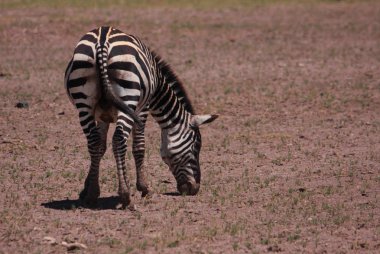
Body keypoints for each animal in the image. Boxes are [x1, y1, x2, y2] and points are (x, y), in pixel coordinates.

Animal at [64, 26, 218, 208]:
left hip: (84, 103)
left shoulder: (102, 116)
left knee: (94, 141)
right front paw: (143, 188)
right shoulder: (143, 108)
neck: (157, 82)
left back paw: (93, 195)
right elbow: (139, 147)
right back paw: (125, 196)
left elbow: (100, 147)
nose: (194, 189)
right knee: (119, 139)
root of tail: (102, 41)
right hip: (128, 97)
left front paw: (87, 188)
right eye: (196, 147)